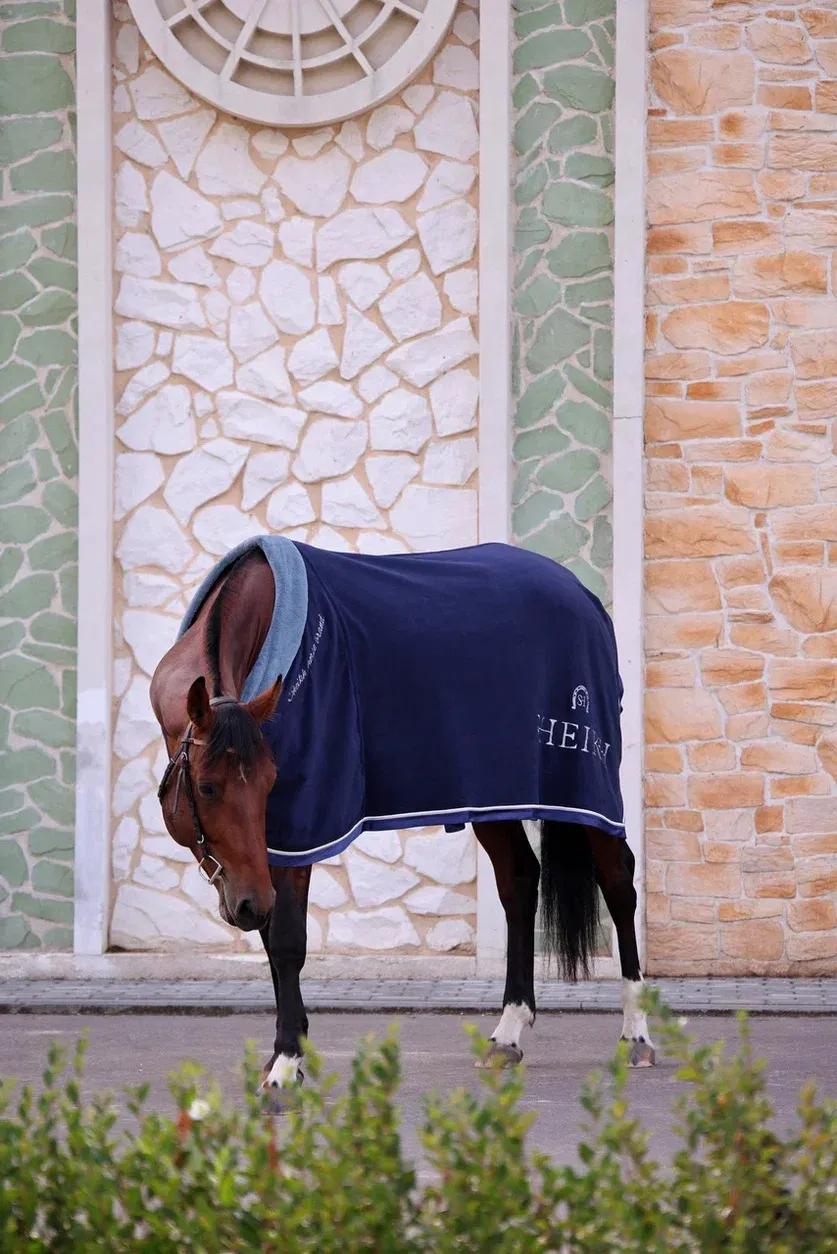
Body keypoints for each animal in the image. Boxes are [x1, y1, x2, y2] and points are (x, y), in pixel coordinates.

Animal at [149, 541, 653, 1094]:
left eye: (269, 781)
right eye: (207, 787)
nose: (246, 905)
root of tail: (584, 597)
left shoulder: (306, 819)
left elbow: (286, 941)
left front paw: (284, 1068)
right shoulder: (266, 846)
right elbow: (270, 938)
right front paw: (287, 1055)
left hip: (588, 786)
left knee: (618, 880)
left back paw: (636, 1036)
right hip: (492, 798)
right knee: (520, 881)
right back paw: (507, 1034)